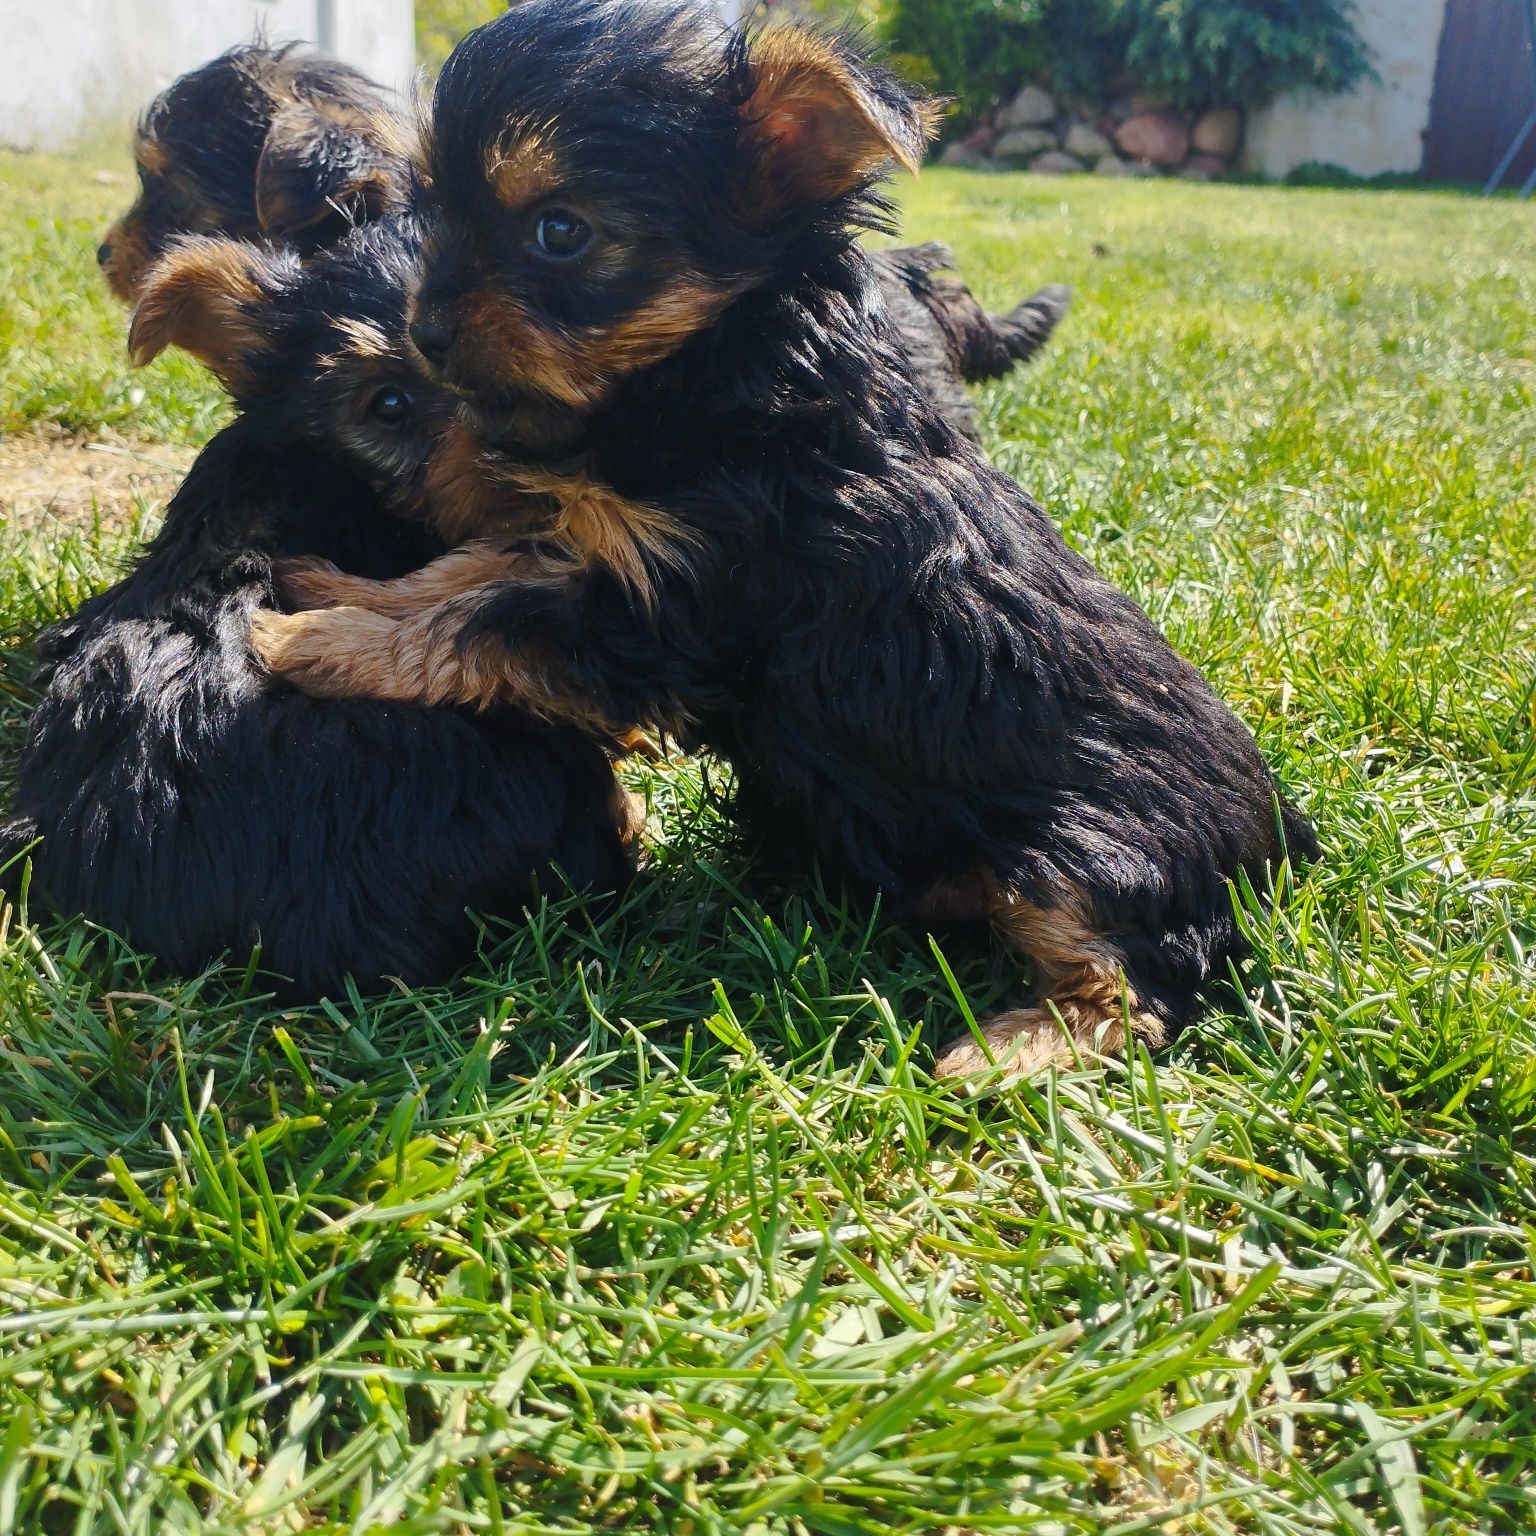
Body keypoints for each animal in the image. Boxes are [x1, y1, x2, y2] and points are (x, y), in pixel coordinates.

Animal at [248, 3, 1320, 1081]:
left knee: (1143, 975)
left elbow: (486, 622)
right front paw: (335, 588)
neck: (722, 375)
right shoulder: (604, 551)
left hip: (1095, 850)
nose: (423, 332)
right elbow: (470, 574)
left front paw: (312, 644)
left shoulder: (678, 614)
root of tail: (1275, 839)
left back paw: (1008, 1051)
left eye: (559, 232)